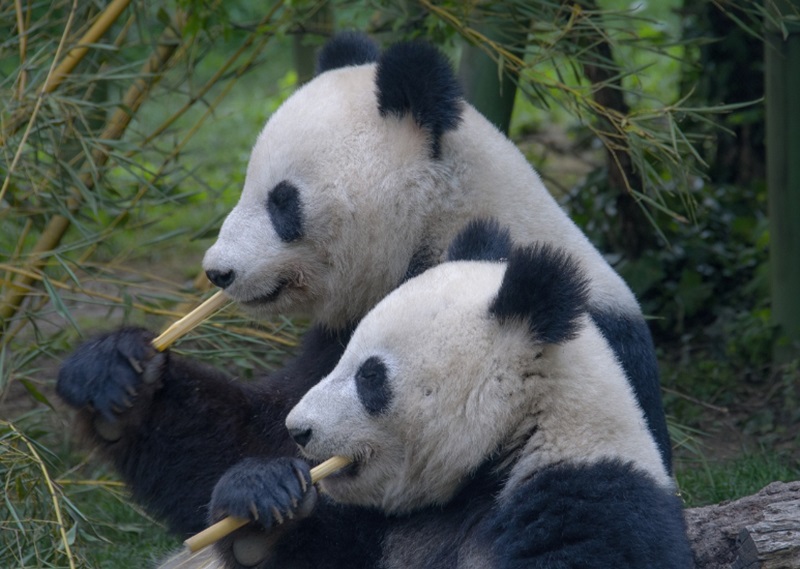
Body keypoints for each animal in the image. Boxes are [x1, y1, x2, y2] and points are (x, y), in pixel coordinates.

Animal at [54, 31, 668, 536]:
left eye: (282, 201)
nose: (218, 271)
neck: (440, 222)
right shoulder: (338, 337)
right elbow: (253, 434)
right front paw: (114, 375)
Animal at [184, 220, 692, 568]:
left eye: (370, 376)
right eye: (342, 356)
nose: (298, 429)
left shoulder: (591, 500)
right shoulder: (384, 528)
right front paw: (260, 501)